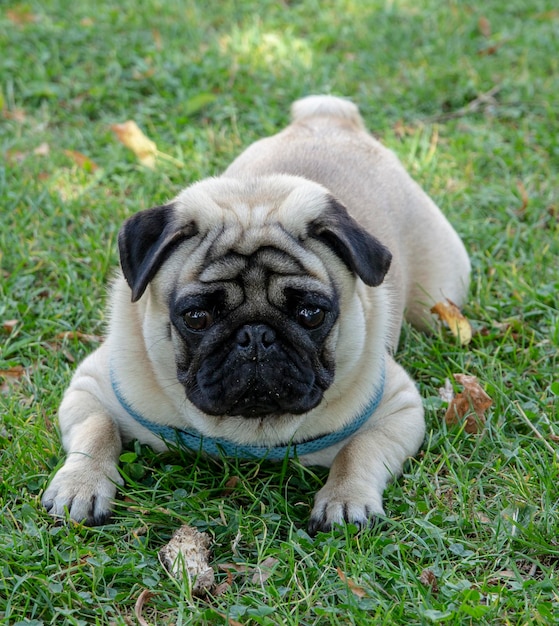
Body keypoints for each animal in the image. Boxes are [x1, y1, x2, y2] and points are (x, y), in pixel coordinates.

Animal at [41, 94, 470, 532]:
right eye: (196, 318)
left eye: (311, 314)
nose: (256, 336)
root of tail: (329, 117)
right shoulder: (91, 388)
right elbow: (98, 430)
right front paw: (81, 484)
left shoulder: (397, 407)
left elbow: (360, 449)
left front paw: (346, 498)